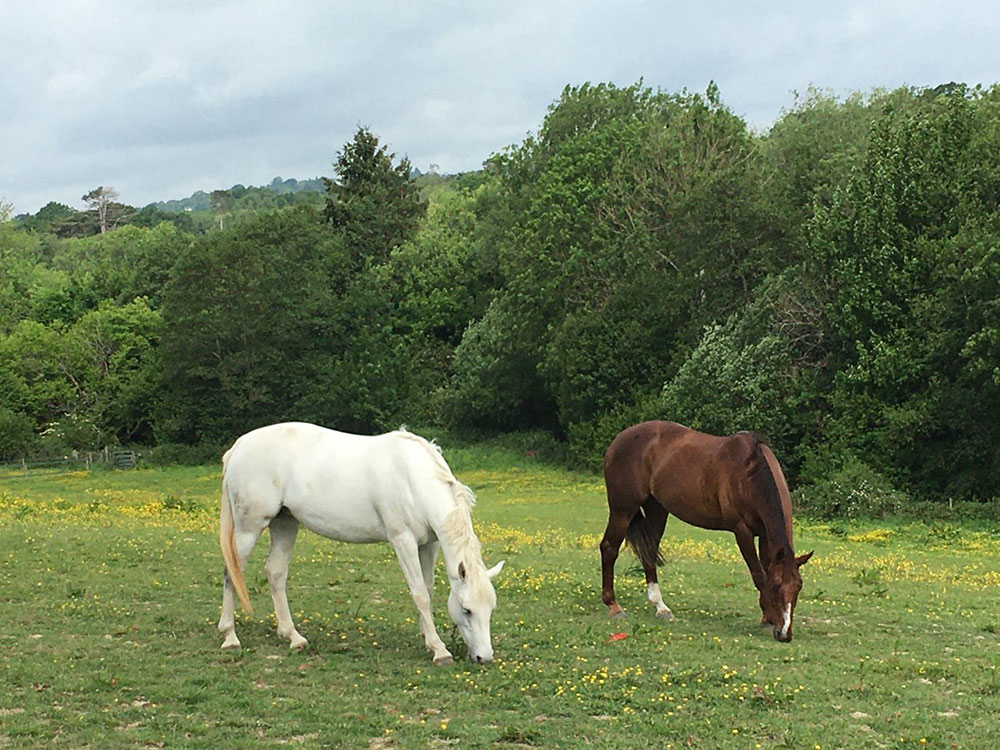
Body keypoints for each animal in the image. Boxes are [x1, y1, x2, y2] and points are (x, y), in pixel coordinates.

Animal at [216, 424, 504, 664]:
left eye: (491, 608)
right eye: (467, 610)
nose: (484, 657)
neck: (412, 479)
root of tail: (238, 447)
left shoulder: (429, 545)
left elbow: (429, 590)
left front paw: (427, 638)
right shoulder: (403, 541)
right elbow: (420, 594)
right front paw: (439, 649)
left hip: (285, 524)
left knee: (275, 573)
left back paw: (293, 637)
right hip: (248, 529)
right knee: (232, 573)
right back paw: (230, 636)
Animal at [596, 420, 808, 644]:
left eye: (798, 587)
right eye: (776, 587)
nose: (785, 634)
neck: (749, 473)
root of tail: (619, 439)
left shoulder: (765, 535)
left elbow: (766, 569)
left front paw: (766, 617)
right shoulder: (742, 531)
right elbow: (759, 575)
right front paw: (769, 618)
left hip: (657, 509)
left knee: (648, 553)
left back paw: (661, 608)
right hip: (623, 508)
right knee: (609, 548)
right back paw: (614, 606)